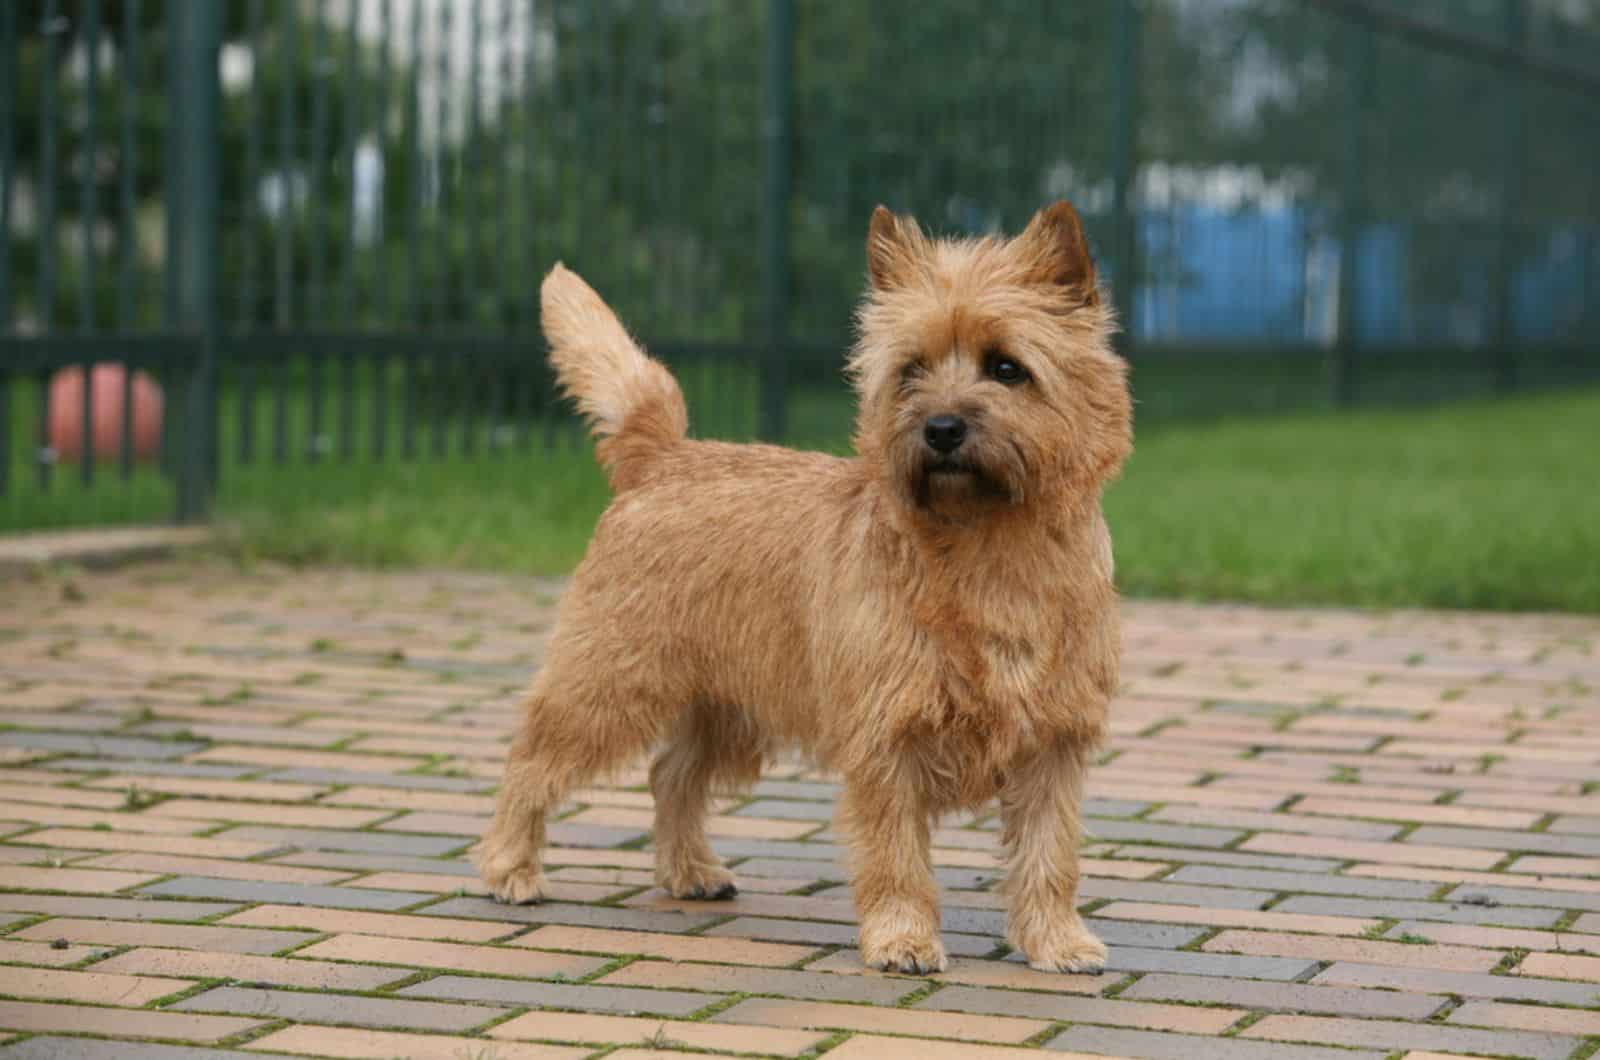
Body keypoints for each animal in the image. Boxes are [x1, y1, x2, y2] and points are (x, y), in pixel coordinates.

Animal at [467, 203, 1132, 973]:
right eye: (910, 371)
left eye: (1007, 368)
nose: (940, 428)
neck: (989, 551)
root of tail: (662, 456)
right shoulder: (887, 737)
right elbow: (896, 854)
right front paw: (903, 939)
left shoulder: (1054, 743)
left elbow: (1050, 854)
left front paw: (1057, 941)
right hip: (611, 682)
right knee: (532, 759)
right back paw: (511, 868)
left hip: (728, 703)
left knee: (671, 774)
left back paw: (691, 872)